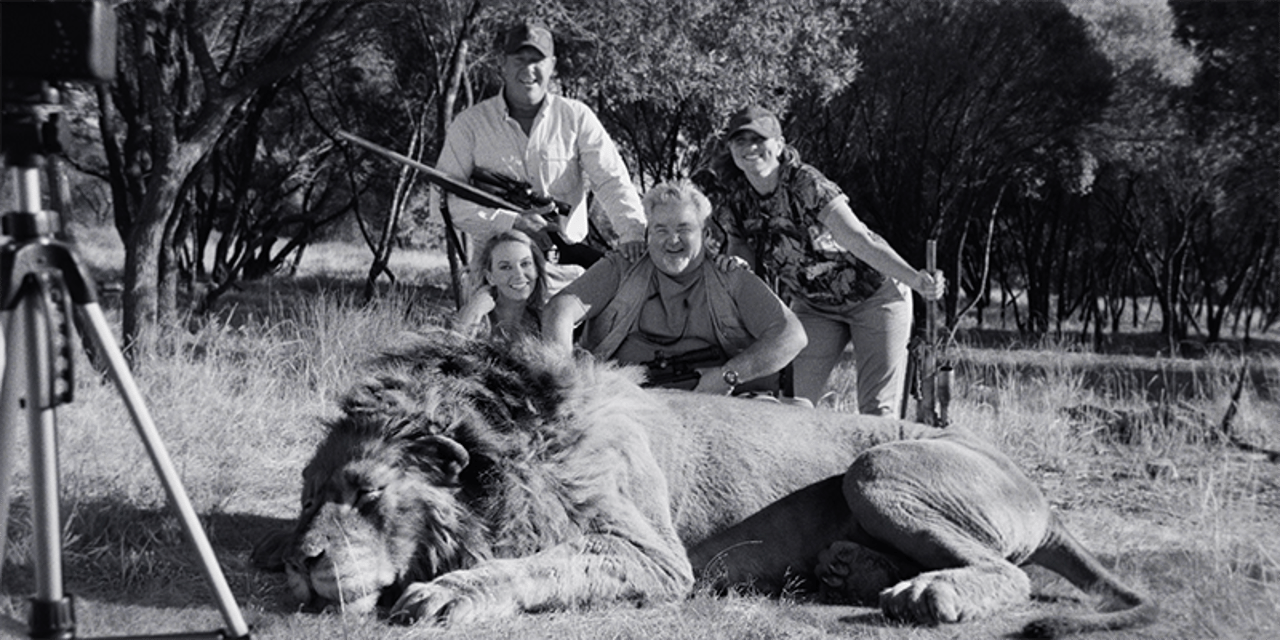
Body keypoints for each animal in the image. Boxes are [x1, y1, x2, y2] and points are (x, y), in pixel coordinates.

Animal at [254, 332, 1157, 637]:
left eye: (368, 495)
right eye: (307, 498)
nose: (303, 562)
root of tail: (1039, 490)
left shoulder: (654, 557)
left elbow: (536, 564)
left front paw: (450, 592)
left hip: (879, 468)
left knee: (1009, 572)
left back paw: (926, 593)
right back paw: (855, 570)